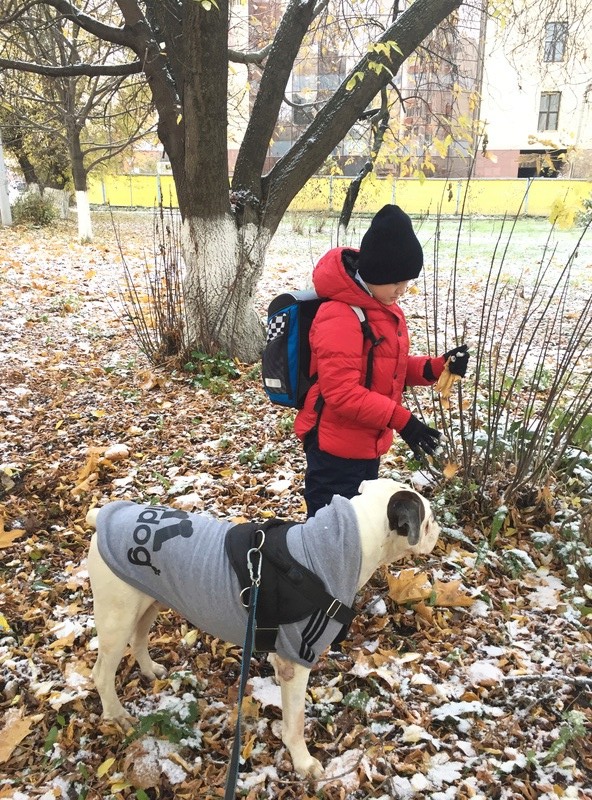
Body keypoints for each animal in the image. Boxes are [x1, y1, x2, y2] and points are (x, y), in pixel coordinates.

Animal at [86, 478, 440, 780]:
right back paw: (116, 713)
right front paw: (303, 762)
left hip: (149, 602)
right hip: (117, 617)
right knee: (102, 672)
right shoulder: (298, 660)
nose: (438, 529)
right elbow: (295, 722)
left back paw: (149, 670)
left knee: (139, 638)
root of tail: (102, 516)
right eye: (427, 521)